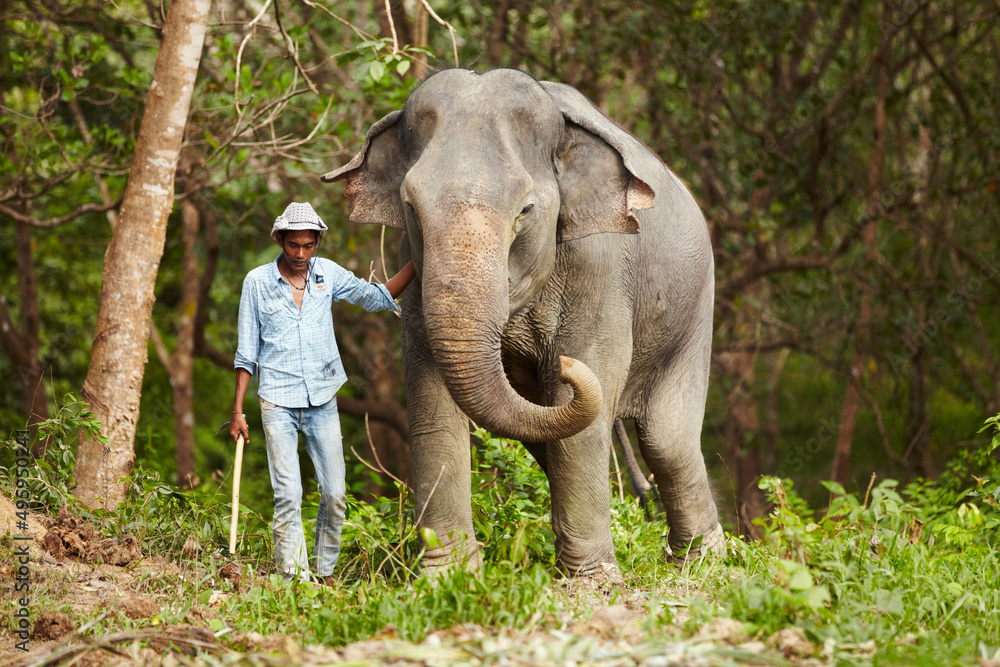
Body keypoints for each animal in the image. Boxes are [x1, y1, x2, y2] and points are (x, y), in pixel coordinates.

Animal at [324, 69, 724, 580]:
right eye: (410, 207)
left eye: (525, 211)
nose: (567, 371)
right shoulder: (412, 264)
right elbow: (432, 401)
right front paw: (447, 578)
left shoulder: (601, 263)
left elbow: (587, 399)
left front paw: (592, 584)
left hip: (695, 308)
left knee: (666, 440)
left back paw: (703, 564)